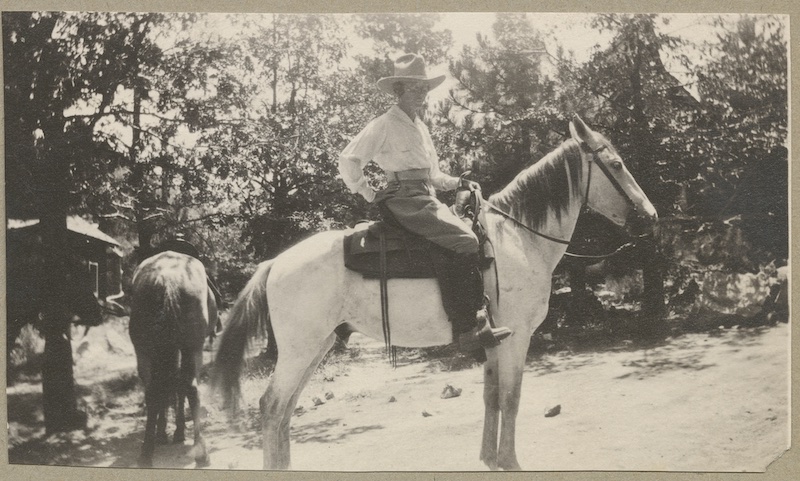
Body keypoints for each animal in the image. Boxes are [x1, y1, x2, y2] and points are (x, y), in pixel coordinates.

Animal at [130, 249, 216, 466]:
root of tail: (167, 279)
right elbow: (178, 387)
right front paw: (176, 430)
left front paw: (165, 432)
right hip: (192, 348)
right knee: (190, 387)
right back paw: (201, 450)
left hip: (144, 350)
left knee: (154, 390)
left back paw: (147, 451)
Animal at [212, 115, 656, 468]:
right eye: (616, 164)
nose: (650, 217)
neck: (517, 239)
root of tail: (275, 263)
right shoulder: (517, 337)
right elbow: (511, 397)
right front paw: (510, 461)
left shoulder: (494, 340)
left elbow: (491, 397)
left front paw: (489, 458)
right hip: (300, 349)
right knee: (272, 407)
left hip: (317, 346)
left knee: (285, 410)